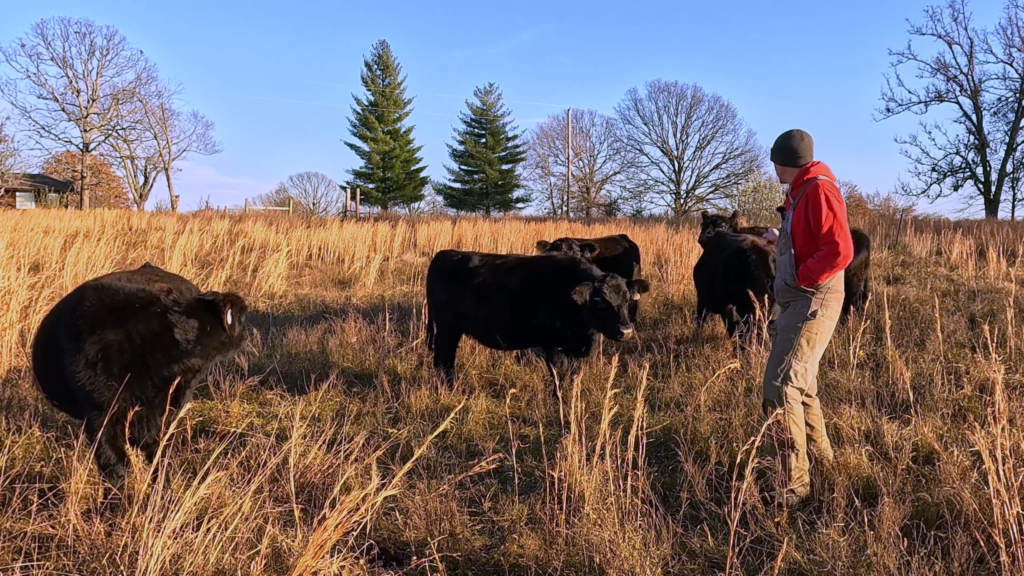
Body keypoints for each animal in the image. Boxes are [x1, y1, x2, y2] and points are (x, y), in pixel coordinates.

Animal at [423, 248, 647, 385]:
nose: (625, 330)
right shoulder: (554, 347)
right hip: (447, 329)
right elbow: (559, 380)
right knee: (444, 361)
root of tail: (445, 253)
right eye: (599, 300)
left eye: (627, 299)